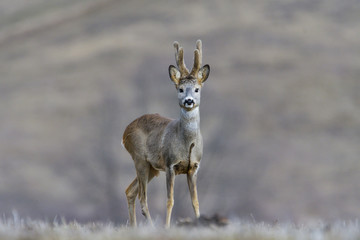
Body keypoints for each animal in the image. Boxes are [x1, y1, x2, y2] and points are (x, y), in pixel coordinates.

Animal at [122, 39, 210, 227]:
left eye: (197, 89)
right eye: (180, 89)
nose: (189, 101)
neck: (187, 144)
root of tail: (125, 132)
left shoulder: (194, 167)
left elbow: (195, 201)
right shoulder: (170, 165)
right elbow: (170, 200)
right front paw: (167, 226)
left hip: (151, 167)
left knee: (130, 191)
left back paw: (133, 227)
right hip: (139, 159)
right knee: (142, 198)